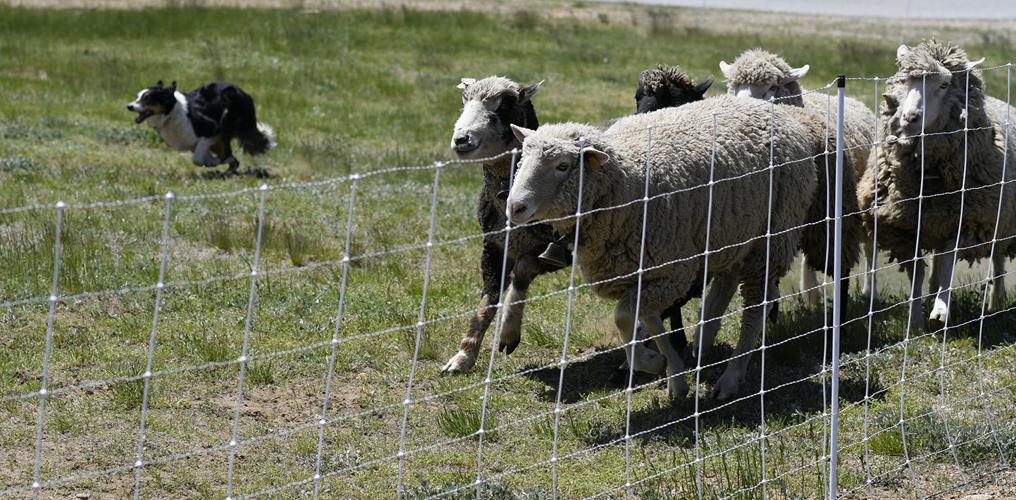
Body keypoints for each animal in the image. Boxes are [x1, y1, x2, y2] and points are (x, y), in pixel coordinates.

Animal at [129, 81, 276, 174]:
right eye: (137, 97)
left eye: (147, 98)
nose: (129, 106)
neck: (172, 113)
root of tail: (245, 94)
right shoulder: (196, 143)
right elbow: (202, 156)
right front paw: (211, 161)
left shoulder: (212, 129)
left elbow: (197, 160)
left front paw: (213, 162)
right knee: (233, 159)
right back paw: (227, 172)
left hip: (227, 120)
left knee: (228, 153)